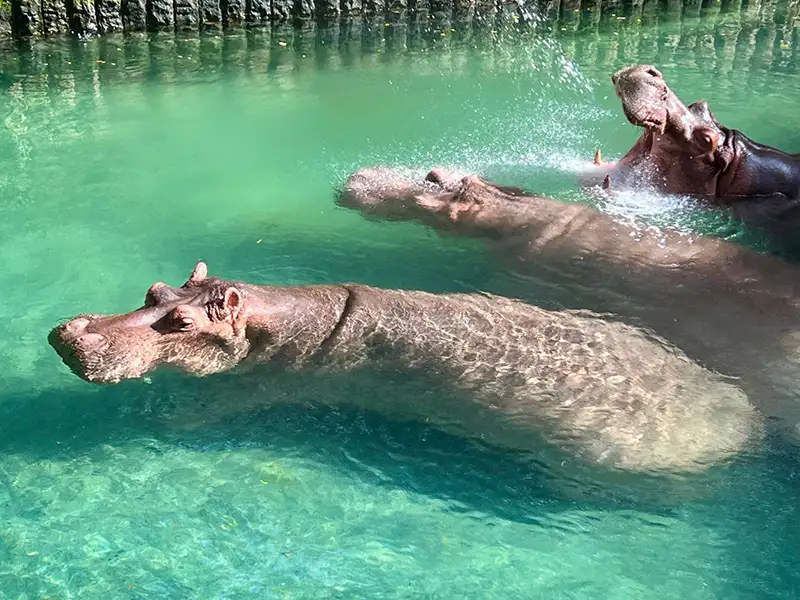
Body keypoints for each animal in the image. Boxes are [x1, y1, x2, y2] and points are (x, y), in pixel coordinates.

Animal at [50, 262, 764, 474]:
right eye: (153, 290)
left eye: (182, 324)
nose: (70, 333)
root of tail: (747, 426)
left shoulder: (261, 383)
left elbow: (211, 406)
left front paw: (168, 419)